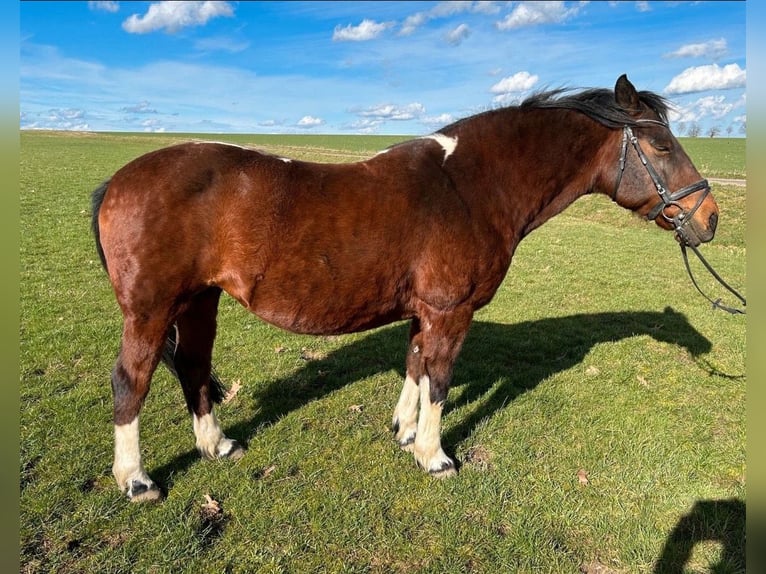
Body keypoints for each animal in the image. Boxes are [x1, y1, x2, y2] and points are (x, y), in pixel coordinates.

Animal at [91, 75, 720, 504]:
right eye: (662, 147)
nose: (710, 217)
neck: (469, 186)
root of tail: (118, 181)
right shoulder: (451, 309)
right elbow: (439, 377)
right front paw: (434, 455)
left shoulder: (426, 309)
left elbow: (416, 364)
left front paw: (405, 430)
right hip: (150, 311)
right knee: (131, 382)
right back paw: (136, 479)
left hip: (199, 301)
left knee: (194, 368)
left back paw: (217, 445)